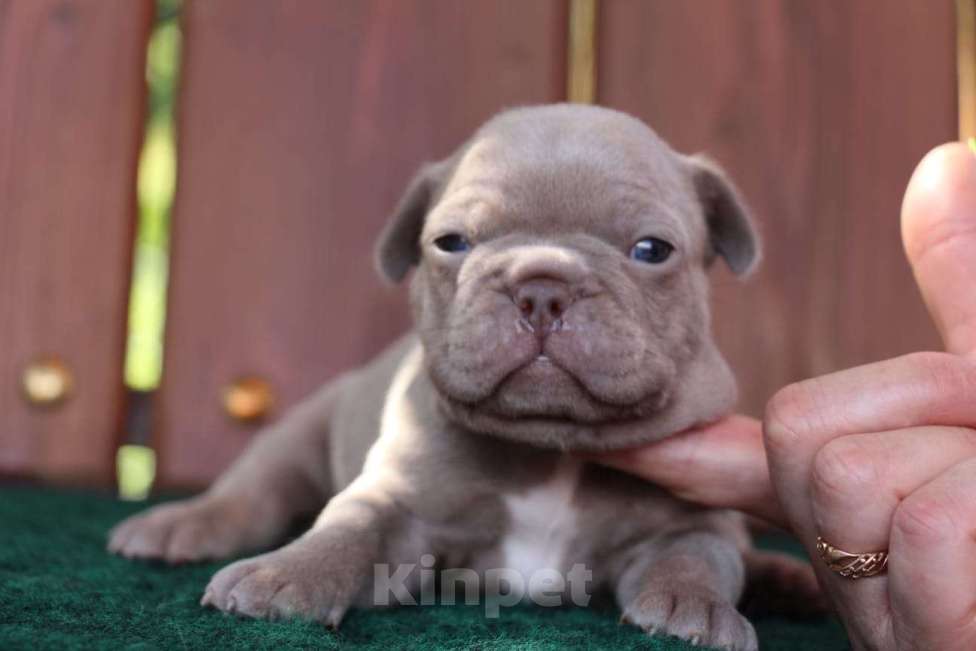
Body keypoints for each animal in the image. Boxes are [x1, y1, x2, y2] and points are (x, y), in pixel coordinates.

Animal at [110, 104, 820, 648]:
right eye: (451, 242)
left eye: (652, 250)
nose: (542, 287)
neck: (550, 450)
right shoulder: (400, 504)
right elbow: (348, 525)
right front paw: (286, 576)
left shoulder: (693, 517)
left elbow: (697, 556)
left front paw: (696, 607)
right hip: (300, 432)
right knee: (252, 492)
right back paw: (179, 526)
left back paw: (789, 580)